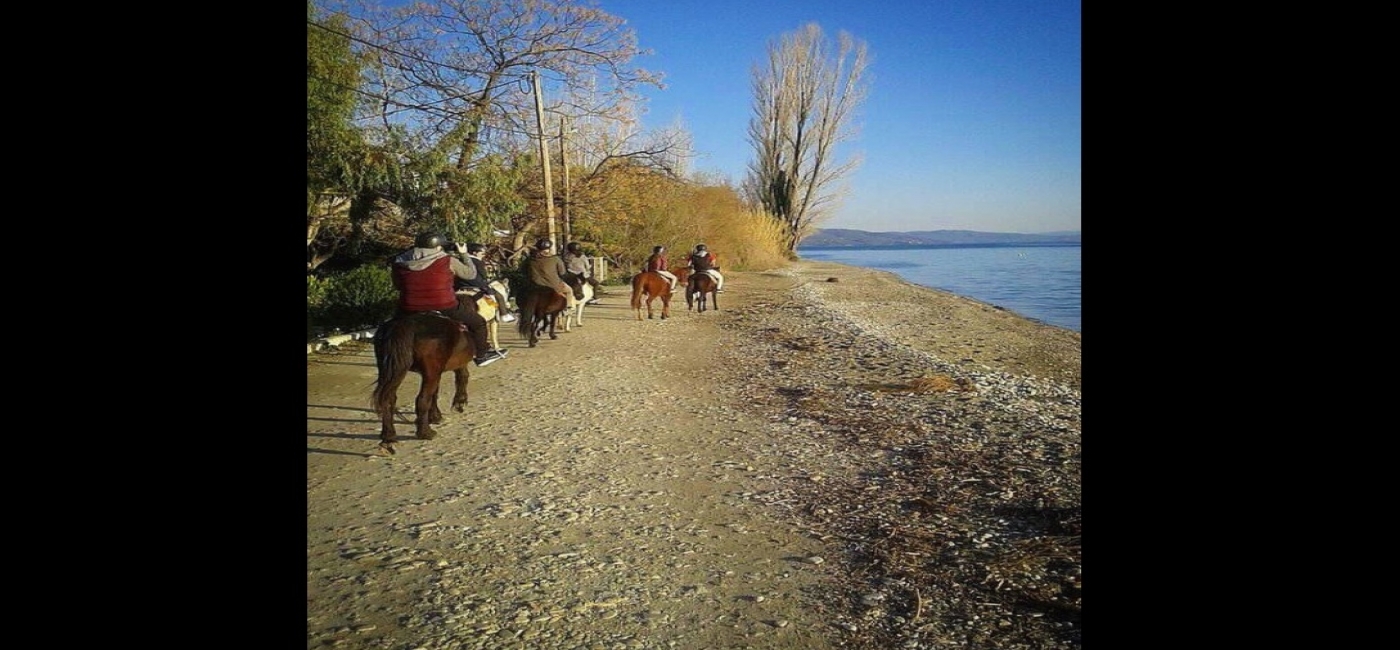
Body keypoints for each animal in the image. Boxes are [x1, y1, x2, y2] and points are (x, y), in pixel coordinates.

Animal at [369, 305, 478, 451]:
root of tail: (404, 324)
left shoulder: (438, 372)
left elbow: (436, 392)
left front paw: (435, 416)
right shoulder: (451, 367)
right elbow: (462, 378)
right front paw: (459, 403)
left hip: (392, 371)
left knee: (388, 399)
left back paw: (389, 437)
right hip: (429, 373)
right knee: (422, 399)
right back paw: (425, 432)